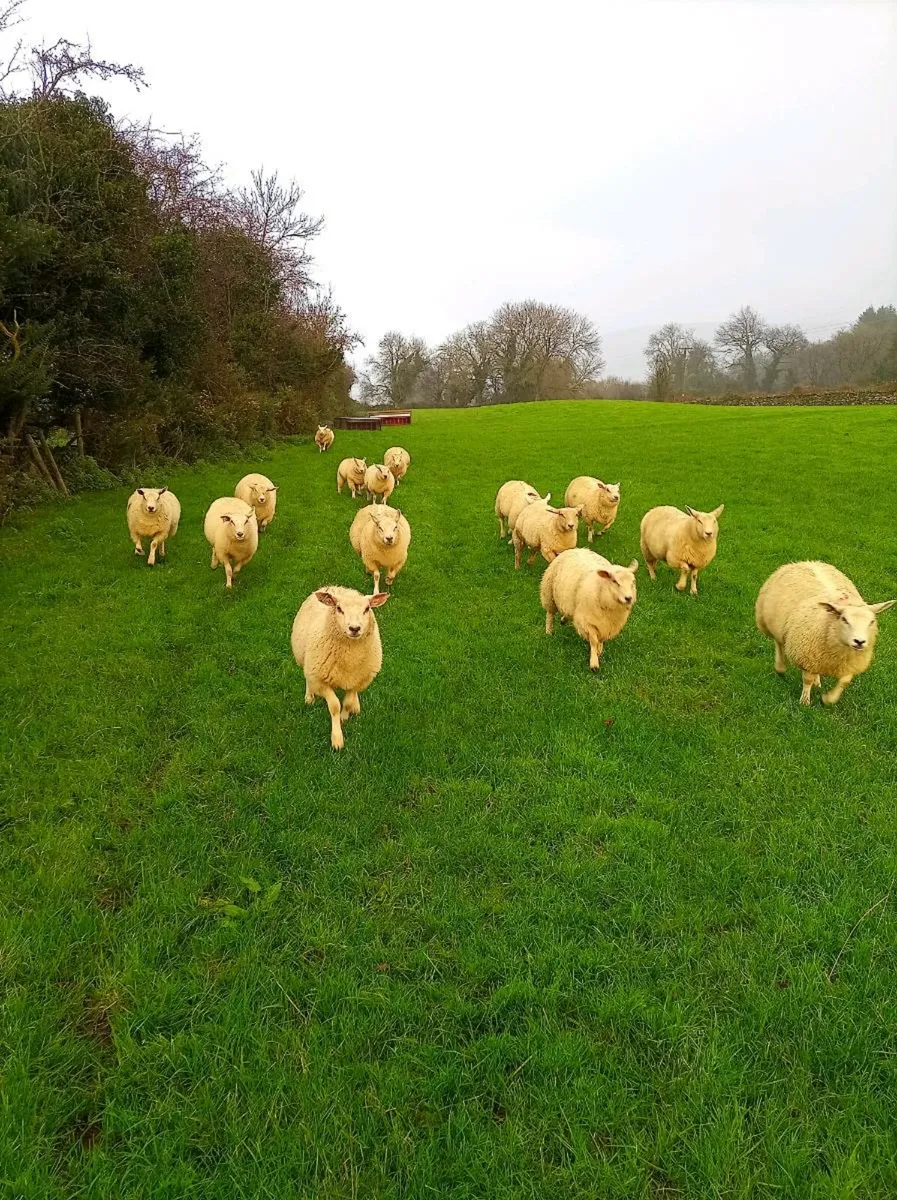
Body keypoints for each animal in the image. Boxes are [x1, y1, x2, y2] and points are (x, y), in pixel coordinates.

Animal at [291, 586, 389, 749]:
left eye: (367, 608)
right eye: (339, 608)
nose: (354, 628)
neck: (350, 659)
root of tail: (333, 586)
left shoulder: (358, 678)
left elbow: (347, 702)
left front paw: (345, 716)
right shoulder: (320, 679)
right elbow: (335, 706)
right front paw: (337, 738)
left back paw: (356, 705)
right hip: (306, 659)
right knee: (307, 677)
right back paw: (309, 697)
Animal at [756, 561, 895, 706]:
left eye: (872, 621)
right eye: (844, 619)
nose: (859, 642)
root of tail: (804, 562)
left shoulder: (849, 664)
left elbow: (844, 682)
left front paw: (828, 699)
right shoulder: (806, 656)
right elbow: (807, 680)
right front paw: (805, 702)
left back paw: (817, 682)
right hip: (770, 622)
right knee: (778, 643)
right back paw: (780, 667)